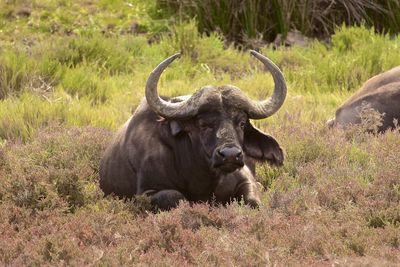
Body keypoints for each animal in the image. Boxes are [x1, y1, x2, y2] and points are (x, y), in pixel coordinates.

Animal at [101, 50, 288, 211]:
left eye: (241, 123)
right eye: (204, 124)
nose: (230, 155)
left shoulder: (246, 180)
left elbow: (252, 200)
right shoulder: (147, 192)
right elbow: (175, 197)